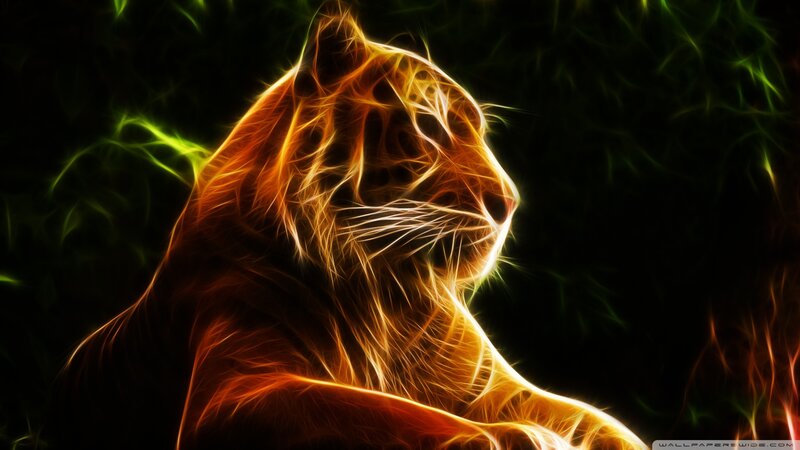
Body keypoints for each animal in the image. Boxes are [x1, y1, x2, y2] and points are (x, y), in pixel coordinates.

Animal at [52, 7, 647, 450]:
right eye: (428, 126)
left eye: (479, 131)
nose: (510, 203)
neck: (388, 296)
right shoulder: (236, 387)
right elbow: (384, 413)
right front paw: (518, 437)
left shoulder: (494, 387)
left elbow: (600, 422)